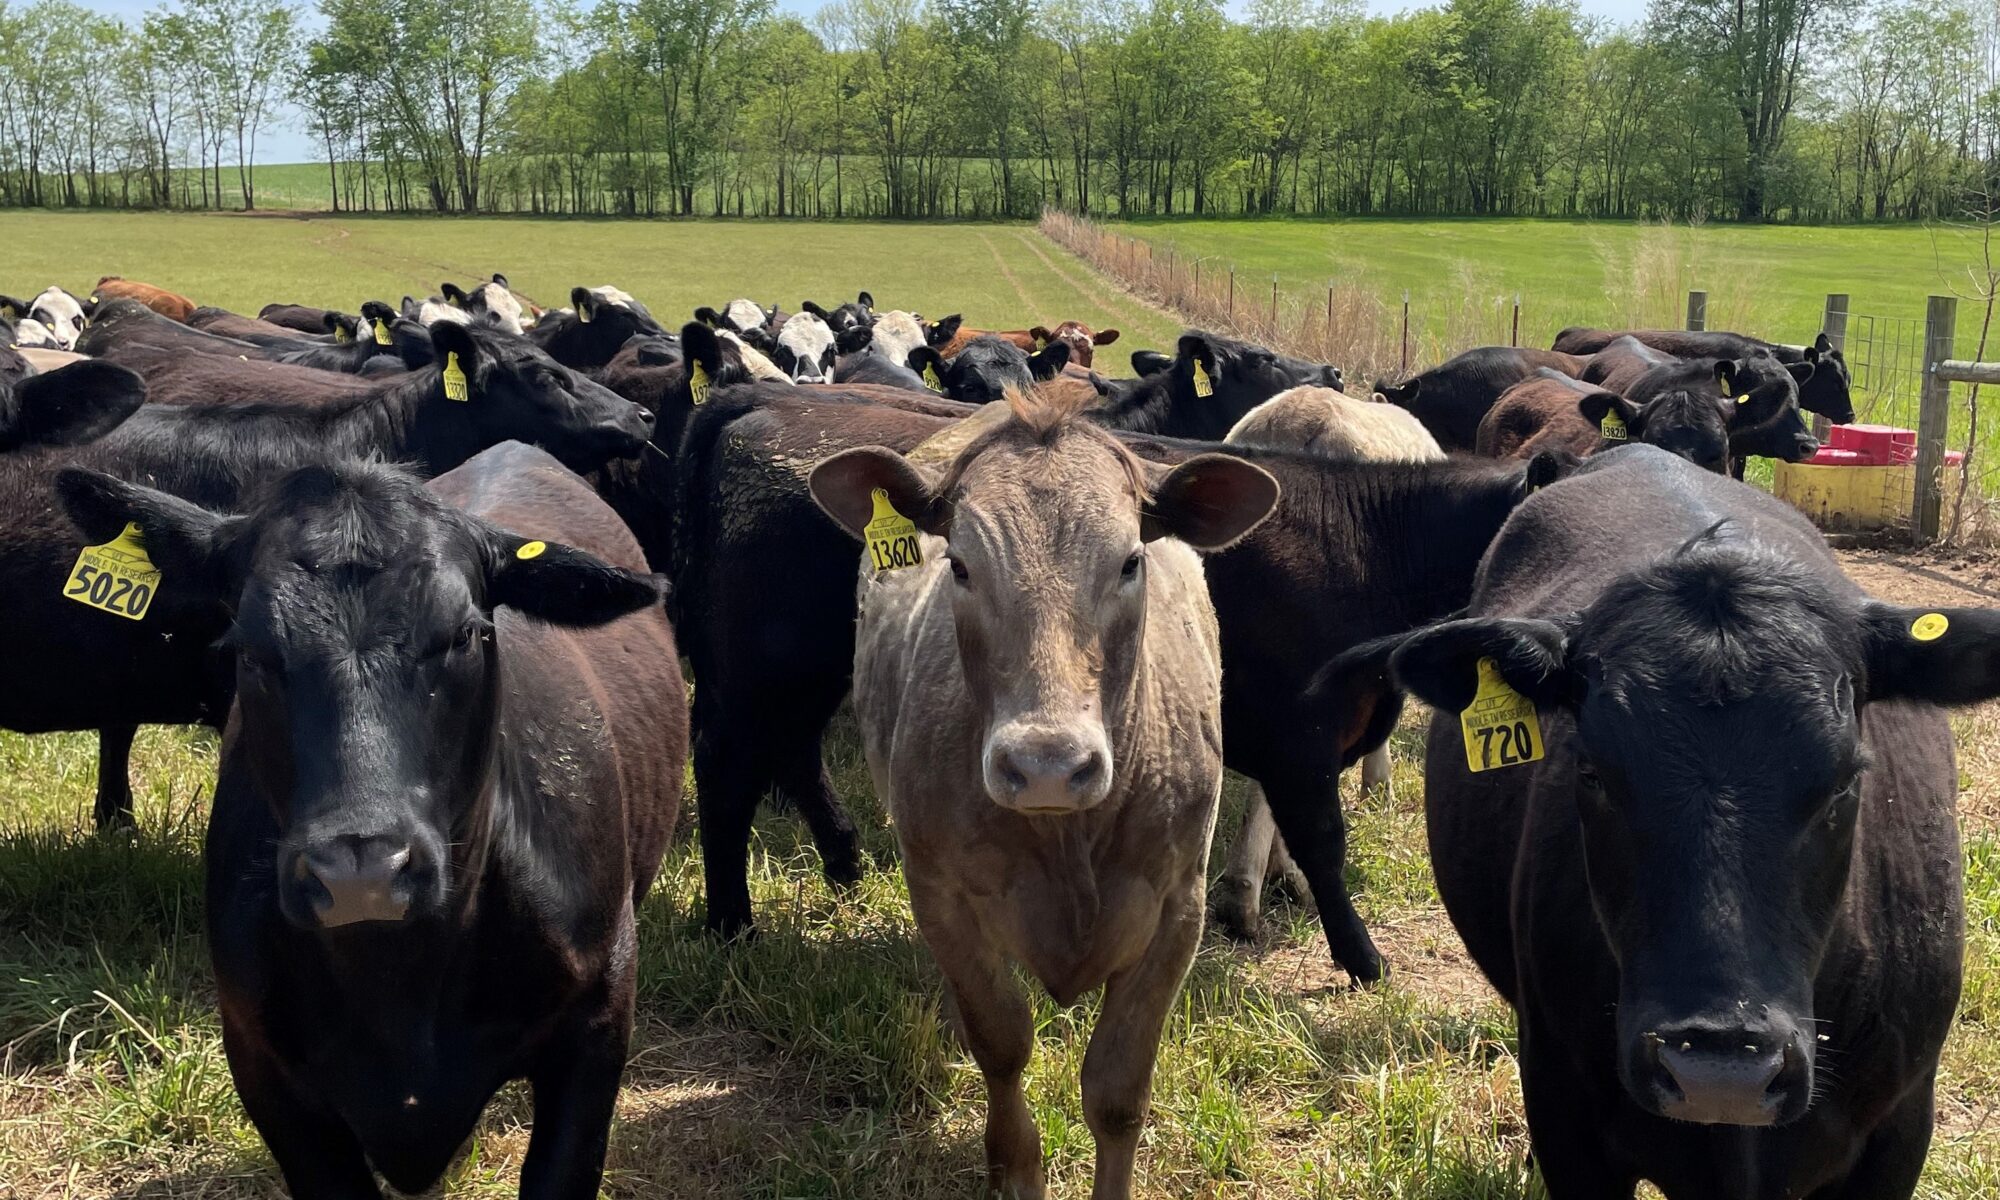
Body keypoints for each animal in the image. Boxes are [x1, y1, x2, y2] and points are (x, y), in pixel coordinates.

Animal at [58, 442, 684, 1200]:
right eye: (249, 648)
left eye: (466, 634)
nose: (361, 872)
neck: (400, 992)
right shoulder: (261, 1061)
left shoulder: (598, 1018)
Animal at [812, 389, 1278, 1198]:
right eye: (960, 565)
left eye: (1131, 561)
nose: (1048, 765)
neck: (1067, 841)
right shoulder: (941, 895)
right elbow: (1001, 1045)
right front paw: (1014, 1166)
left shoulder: (1178, 907)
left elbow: (1117, 1093)